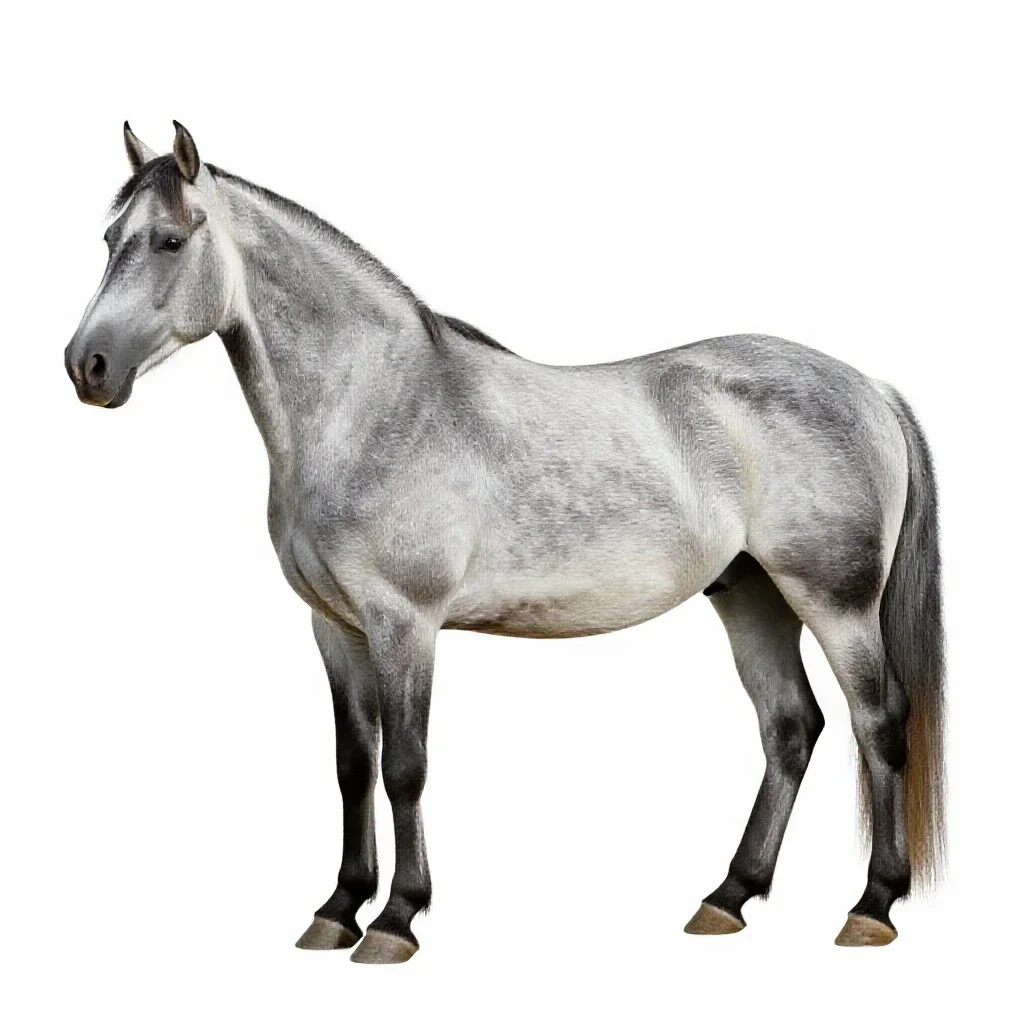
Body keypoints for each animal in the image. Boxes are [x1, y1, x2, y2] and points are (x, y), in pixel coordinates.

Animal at [65, 121, 946, 963]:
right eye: (110, 238)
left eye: (170, 241)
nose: (87, 366)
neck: (374, 405)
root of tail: (871, 389)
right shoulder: (336, 627)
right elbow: (352, 767)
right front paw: (337, 910)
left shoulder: (404, 622)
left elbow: (404, 766)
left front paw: (396, 920)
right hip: (750, 594)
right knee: (790, 728)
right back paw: (727, 897)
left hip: (835, 602)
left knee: (877, 721)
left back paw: (871, 907)